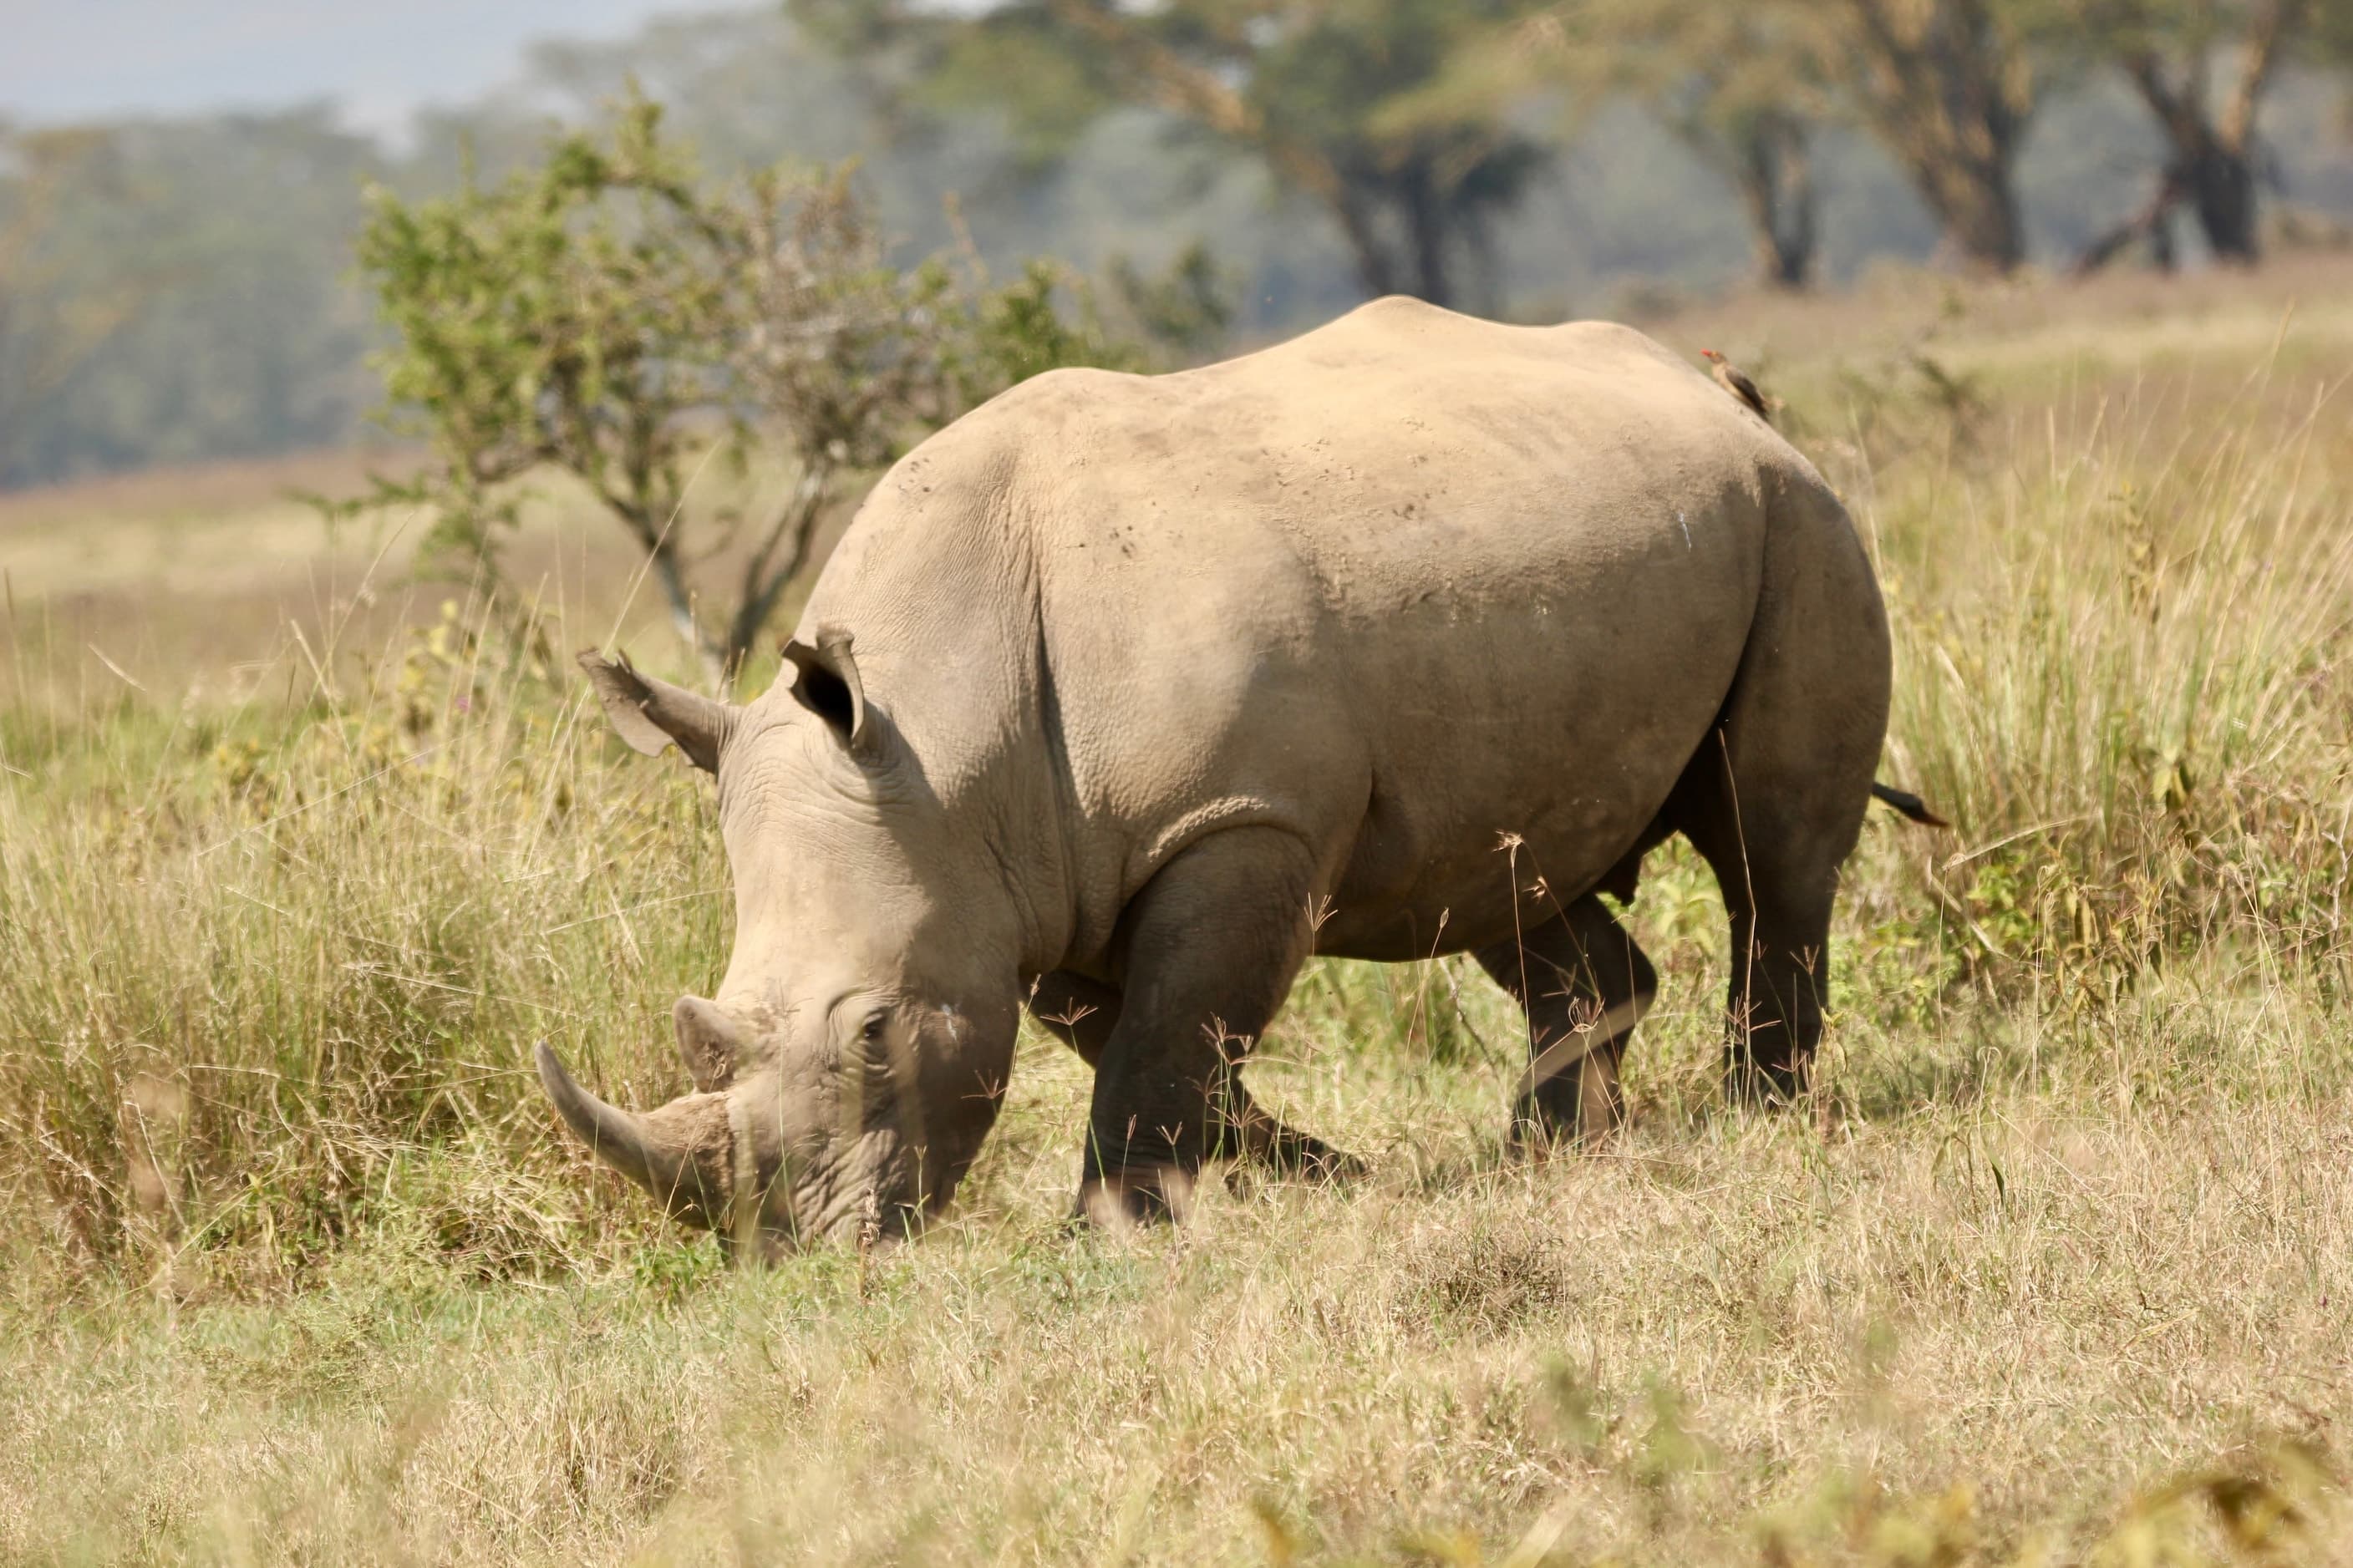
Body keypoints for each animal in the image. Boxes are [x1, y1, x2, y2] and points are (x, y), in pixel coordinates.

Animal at [535, 297, 1909, 1256]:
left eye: (874, 1032)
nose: (799, 1252)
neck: (939, 734)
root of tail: (1721, 391)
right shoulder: (1037, 874)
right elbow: (1139, 1035)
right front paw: (1323, 1175)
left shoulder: (1238, 820)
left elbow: (1171, 1027)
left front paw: (1117, 1229)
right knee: (1504, 877)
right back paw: (1547, 1149)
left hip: (1795, 517)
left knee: (1769, 846)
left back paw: (1756, 1112)